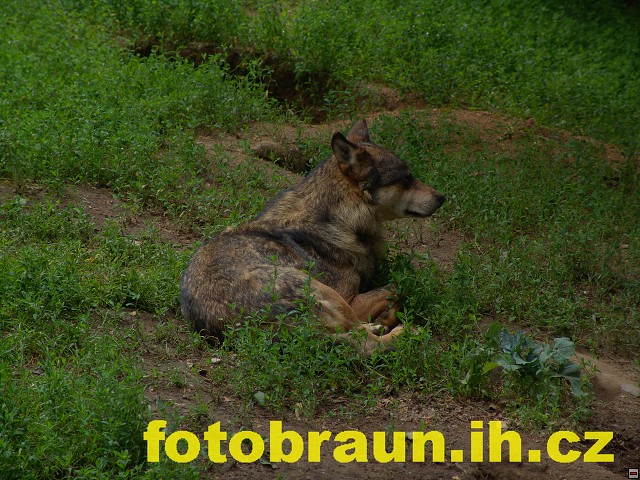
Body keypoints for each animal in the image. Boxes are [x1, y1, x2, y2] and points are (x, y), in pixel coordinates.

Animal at [180, 120, 445, 354]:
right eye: (406, 178)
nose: (442, 197)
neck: (340, 218)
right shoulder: (350, 298)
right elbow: (396, 287)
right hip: (323, 290)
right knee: (365, 342)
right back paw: (402, 332)